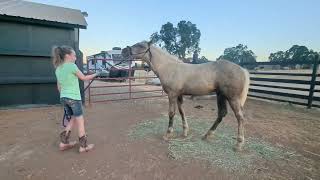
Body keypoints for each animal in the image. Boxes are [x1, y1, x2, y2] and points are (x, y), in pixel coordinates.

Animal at [122, 40, 250, 150]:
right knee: (222, 114)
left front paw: (168, 134)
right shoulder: (179, 95)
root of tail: (242, 69)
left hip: (232, 98)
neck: (169, 68)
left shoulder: (172, 95)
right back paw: (207, 135)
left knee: (240, 117)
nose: (123, 51)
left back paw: (238, 144)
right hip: (221, 96)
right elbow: (181, 112)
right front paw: (184, 132)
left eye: (140, 45)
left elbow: (171, 113)